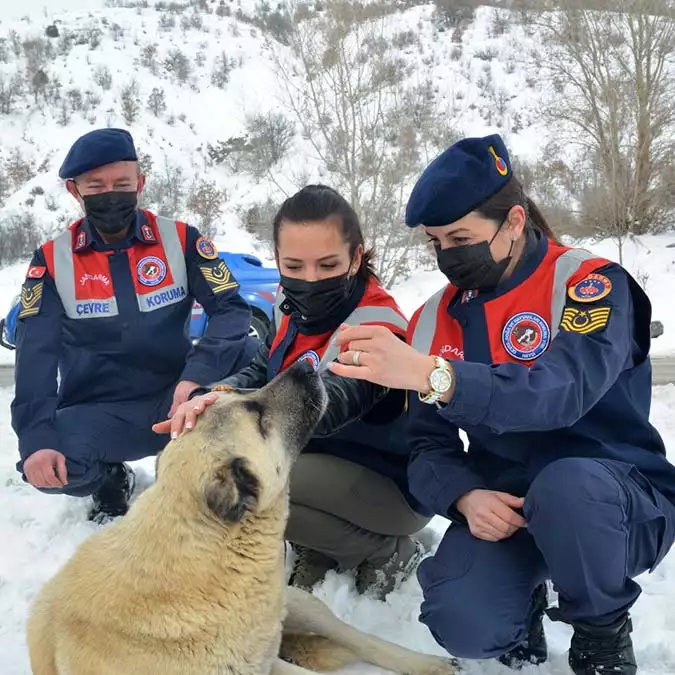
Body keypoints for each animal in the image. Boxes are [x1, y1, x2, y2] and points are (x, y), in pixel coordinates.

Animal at [27, 364, 460, 675]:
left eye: (240, 393)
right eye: (256, 413)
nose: (306, 364)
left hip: (296, 604)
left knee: (356, 637)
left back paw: (428, 663)